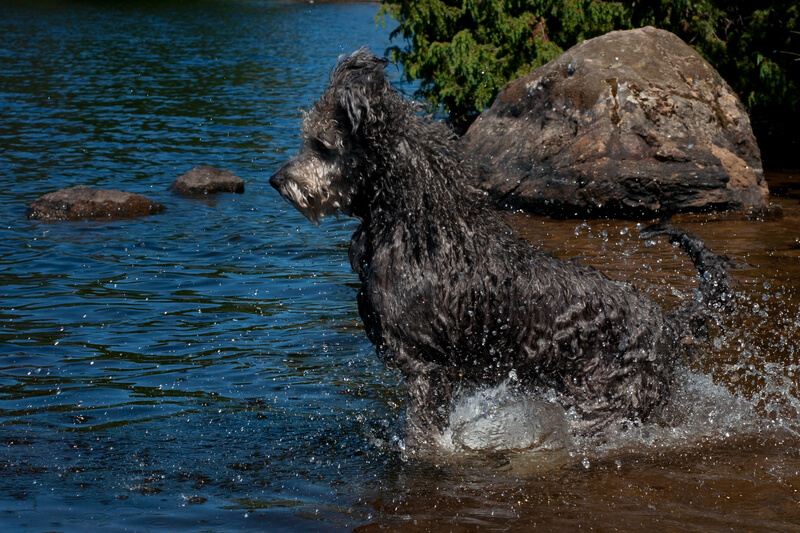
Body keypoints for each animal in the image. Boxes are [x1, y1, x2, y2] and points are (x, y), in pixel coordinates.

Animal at [268, 50, 732, 442]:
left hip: (606, 406)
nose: (276, 180)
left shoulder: (425, 369)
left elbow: (424, 437)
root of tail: (669, 325)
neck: (418, 228)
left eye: (322, 146)